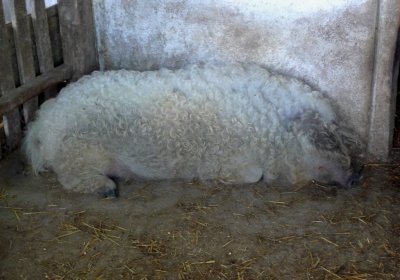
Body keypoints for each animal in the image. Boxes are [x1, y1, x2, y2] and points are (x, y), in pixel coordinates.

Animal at [23, 63, 364, 196]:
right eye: (333, 138)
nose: (358, 175)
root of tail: (41, 124)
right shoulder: (229, 156)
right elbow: (252, 175)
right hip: (76, 151)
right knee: (69, 178)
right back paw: (107, 189)